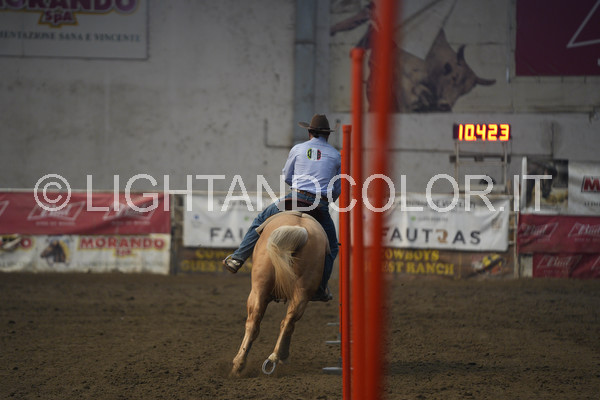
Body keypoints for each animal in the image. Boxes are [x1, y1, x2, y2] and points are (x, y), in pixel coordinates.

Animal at [230, 210, 330, 376]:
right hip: (300, 291)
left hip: (258, 289)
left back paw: (240, 363)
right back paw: (274, 358)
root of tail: (298, 228)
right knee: (287, 321)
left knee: (254, 322)